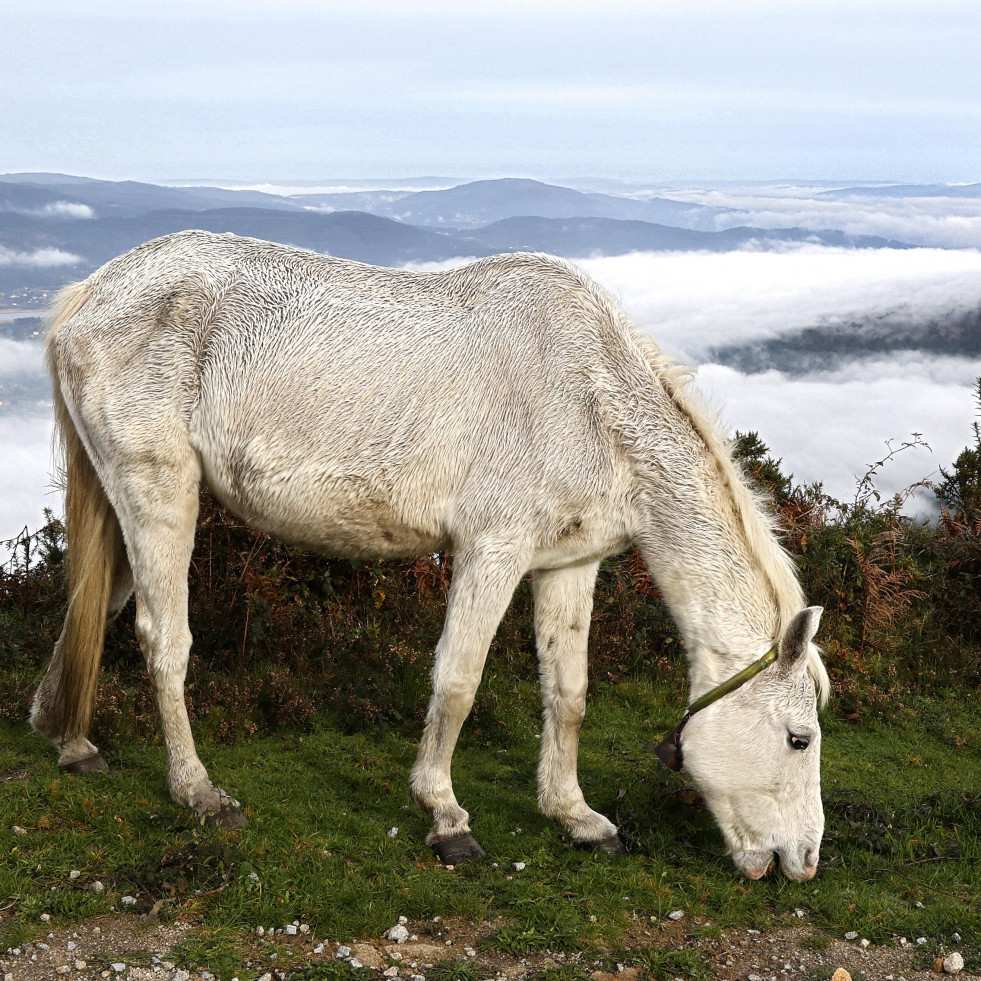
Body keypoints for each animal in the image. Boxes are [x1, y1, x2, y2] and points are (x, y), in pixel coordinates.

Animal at [30, 232, 828, 880]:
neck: (589, 399)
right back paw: (198, 791)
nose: (802, 862)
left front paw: (575, 815)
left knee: (91, 609)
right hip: (159, 490)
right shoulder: (492, 551)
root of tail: (91, 293)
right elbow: (458, 682)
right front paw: (445, 817)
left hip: (121, 503)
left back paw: (70, 742)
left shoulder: (567, 565)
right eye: (799, 739)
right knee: (163, 639)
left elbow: (568, 693)